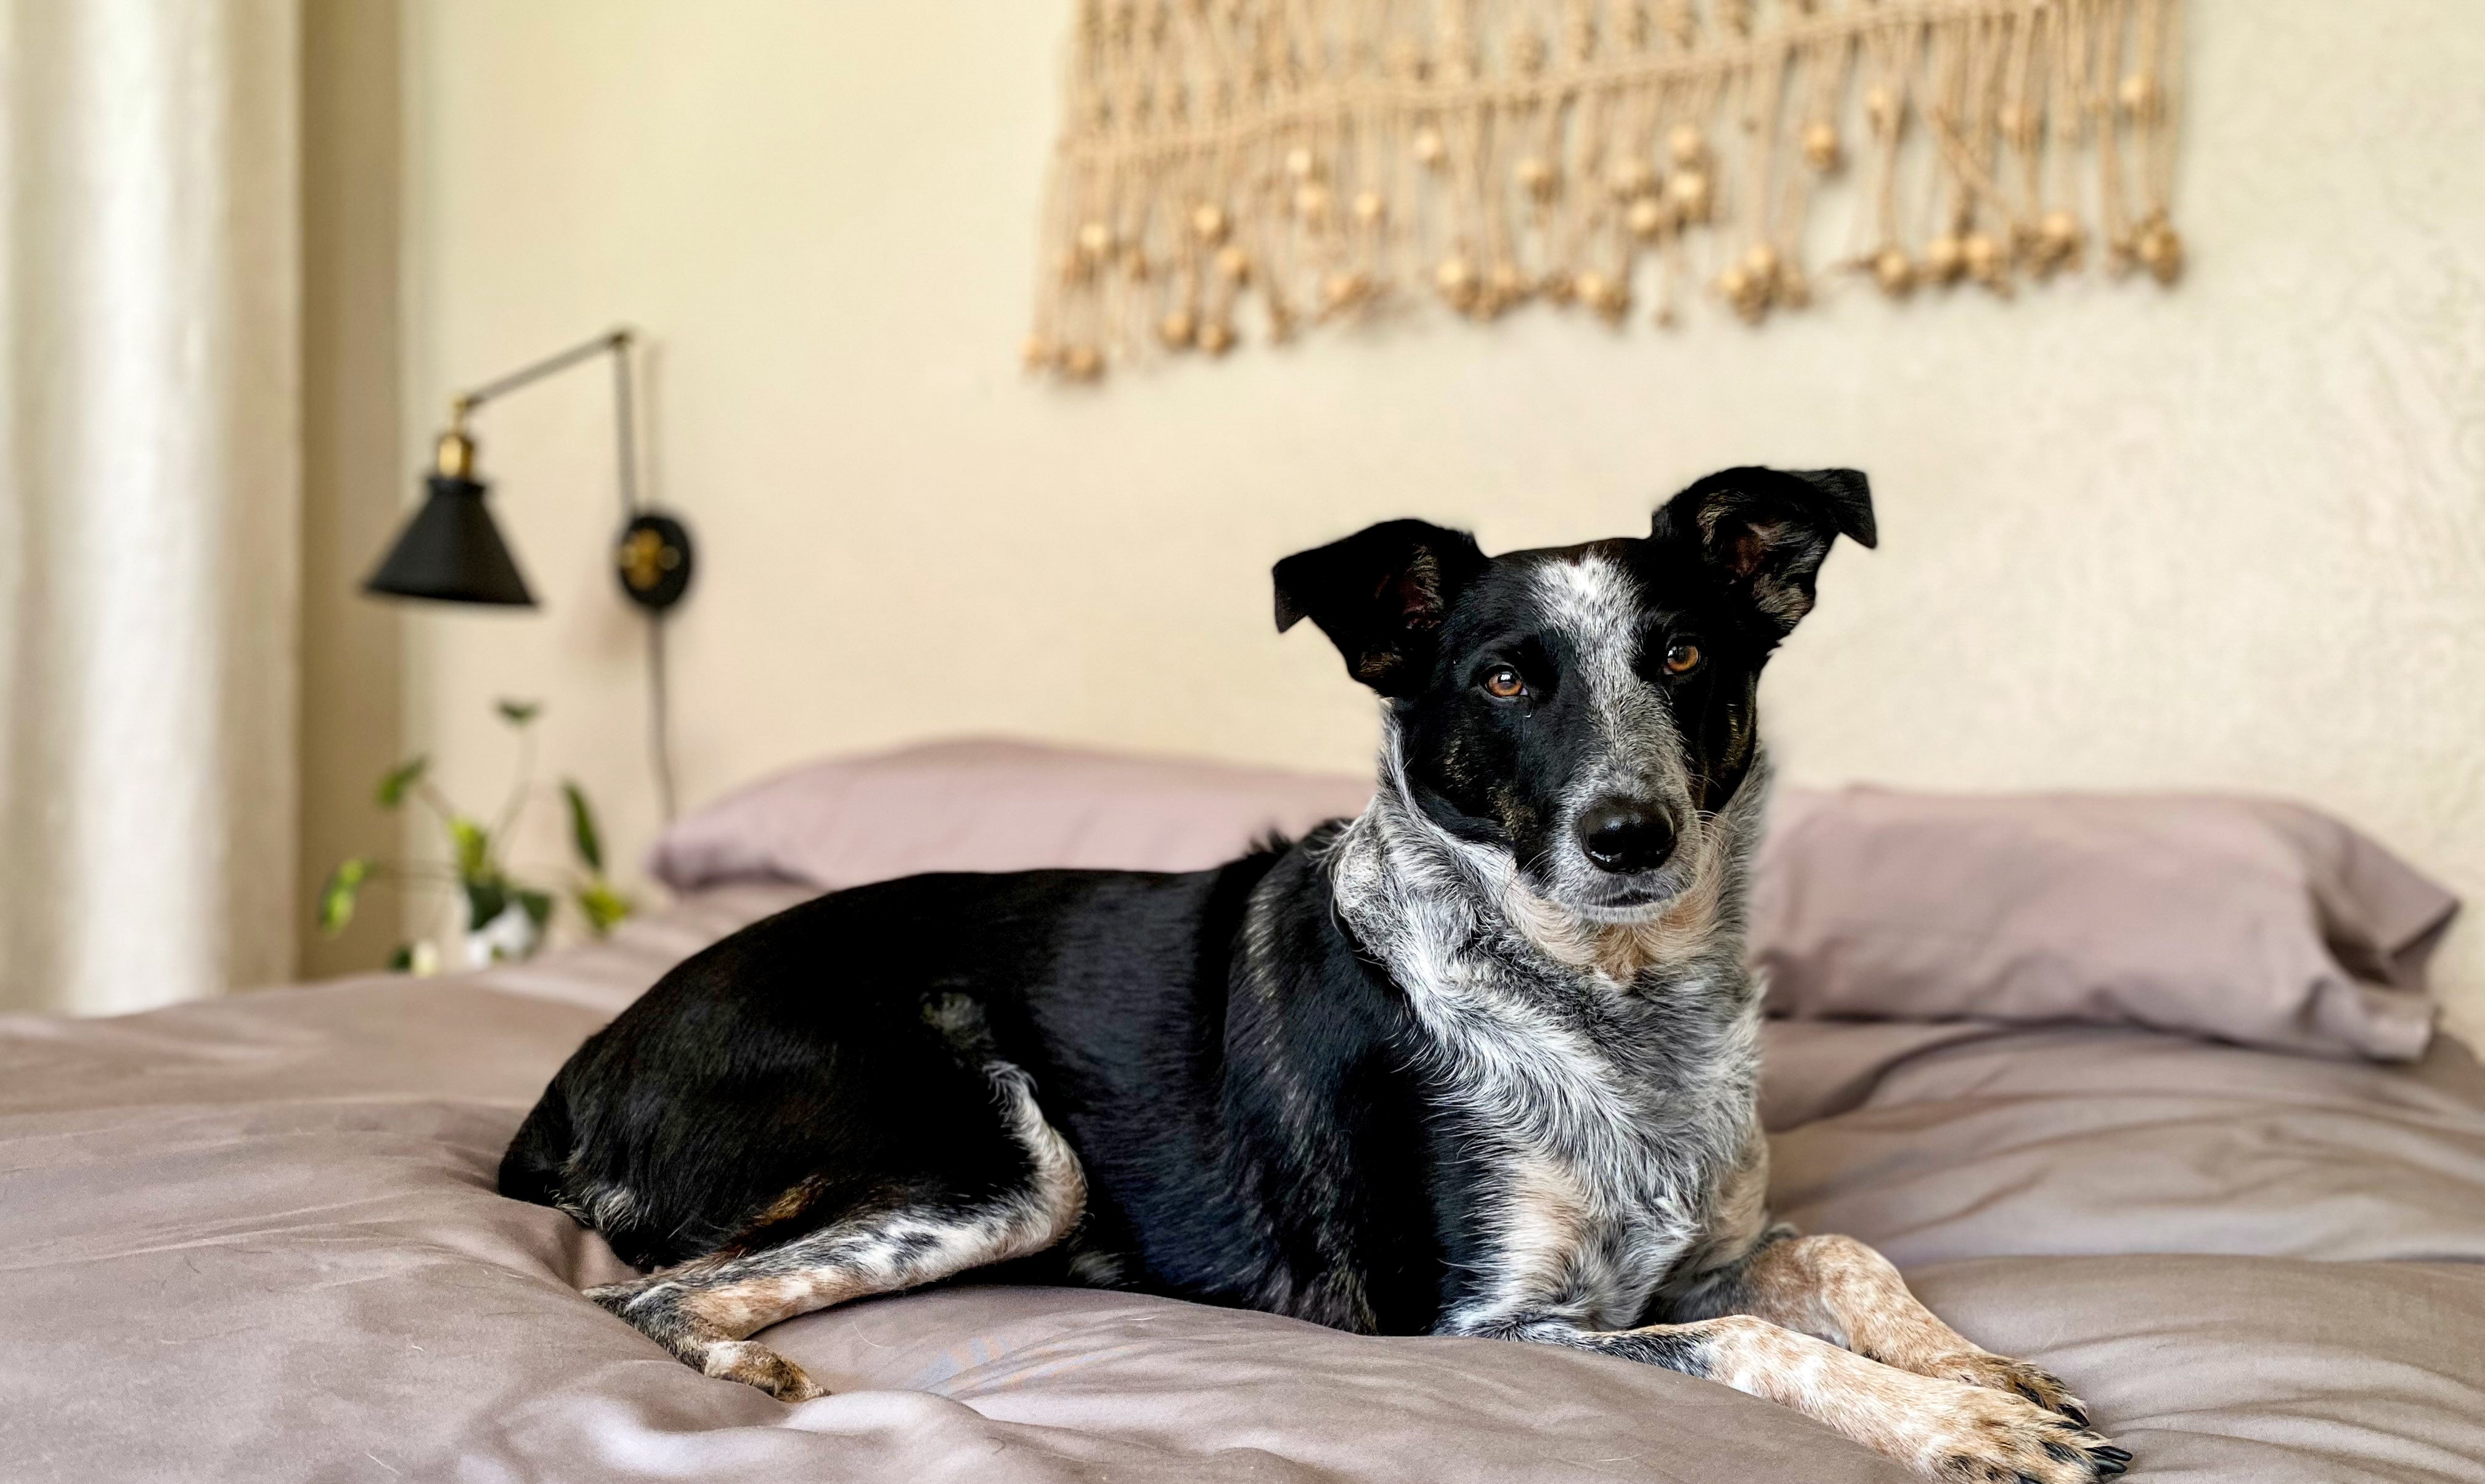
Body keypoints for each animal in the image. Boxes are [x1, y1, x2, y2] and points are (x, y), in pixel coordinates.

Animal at [509, 470, 2137, 1471]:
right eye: (1504, 680)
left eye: (1683, 659)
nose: (1631, 833)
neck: (1611, 1004)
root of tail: (578, 1068)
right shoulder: (1486, 1324)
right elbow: (1743, 1337)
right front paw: (1963, 1431)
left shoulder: (1702, 1243)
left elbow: (1837, 1254)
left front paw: (1979, 1371)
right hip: (1009, 1165)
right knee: (648, 1302)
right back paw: (757, 1383)